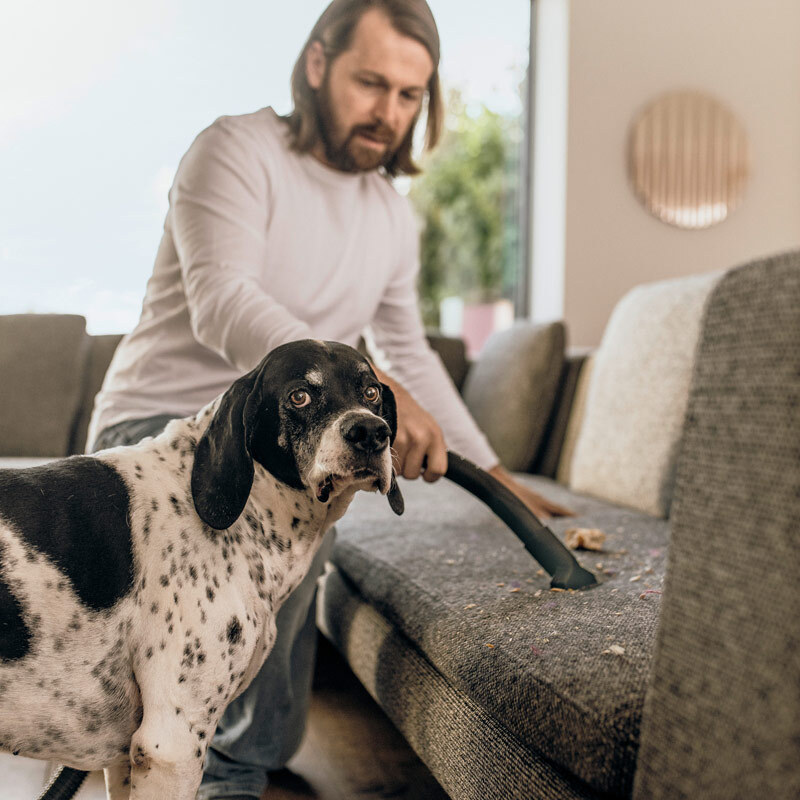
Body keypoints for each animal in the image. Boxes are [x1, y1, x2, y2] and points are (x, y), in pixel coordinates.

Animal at [0, 340, 404, 796]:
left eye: (371, 392)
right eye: (299, 396)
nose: (370, 432)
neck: (251, 511)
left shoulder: (127, 760)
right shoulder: (171, 748)